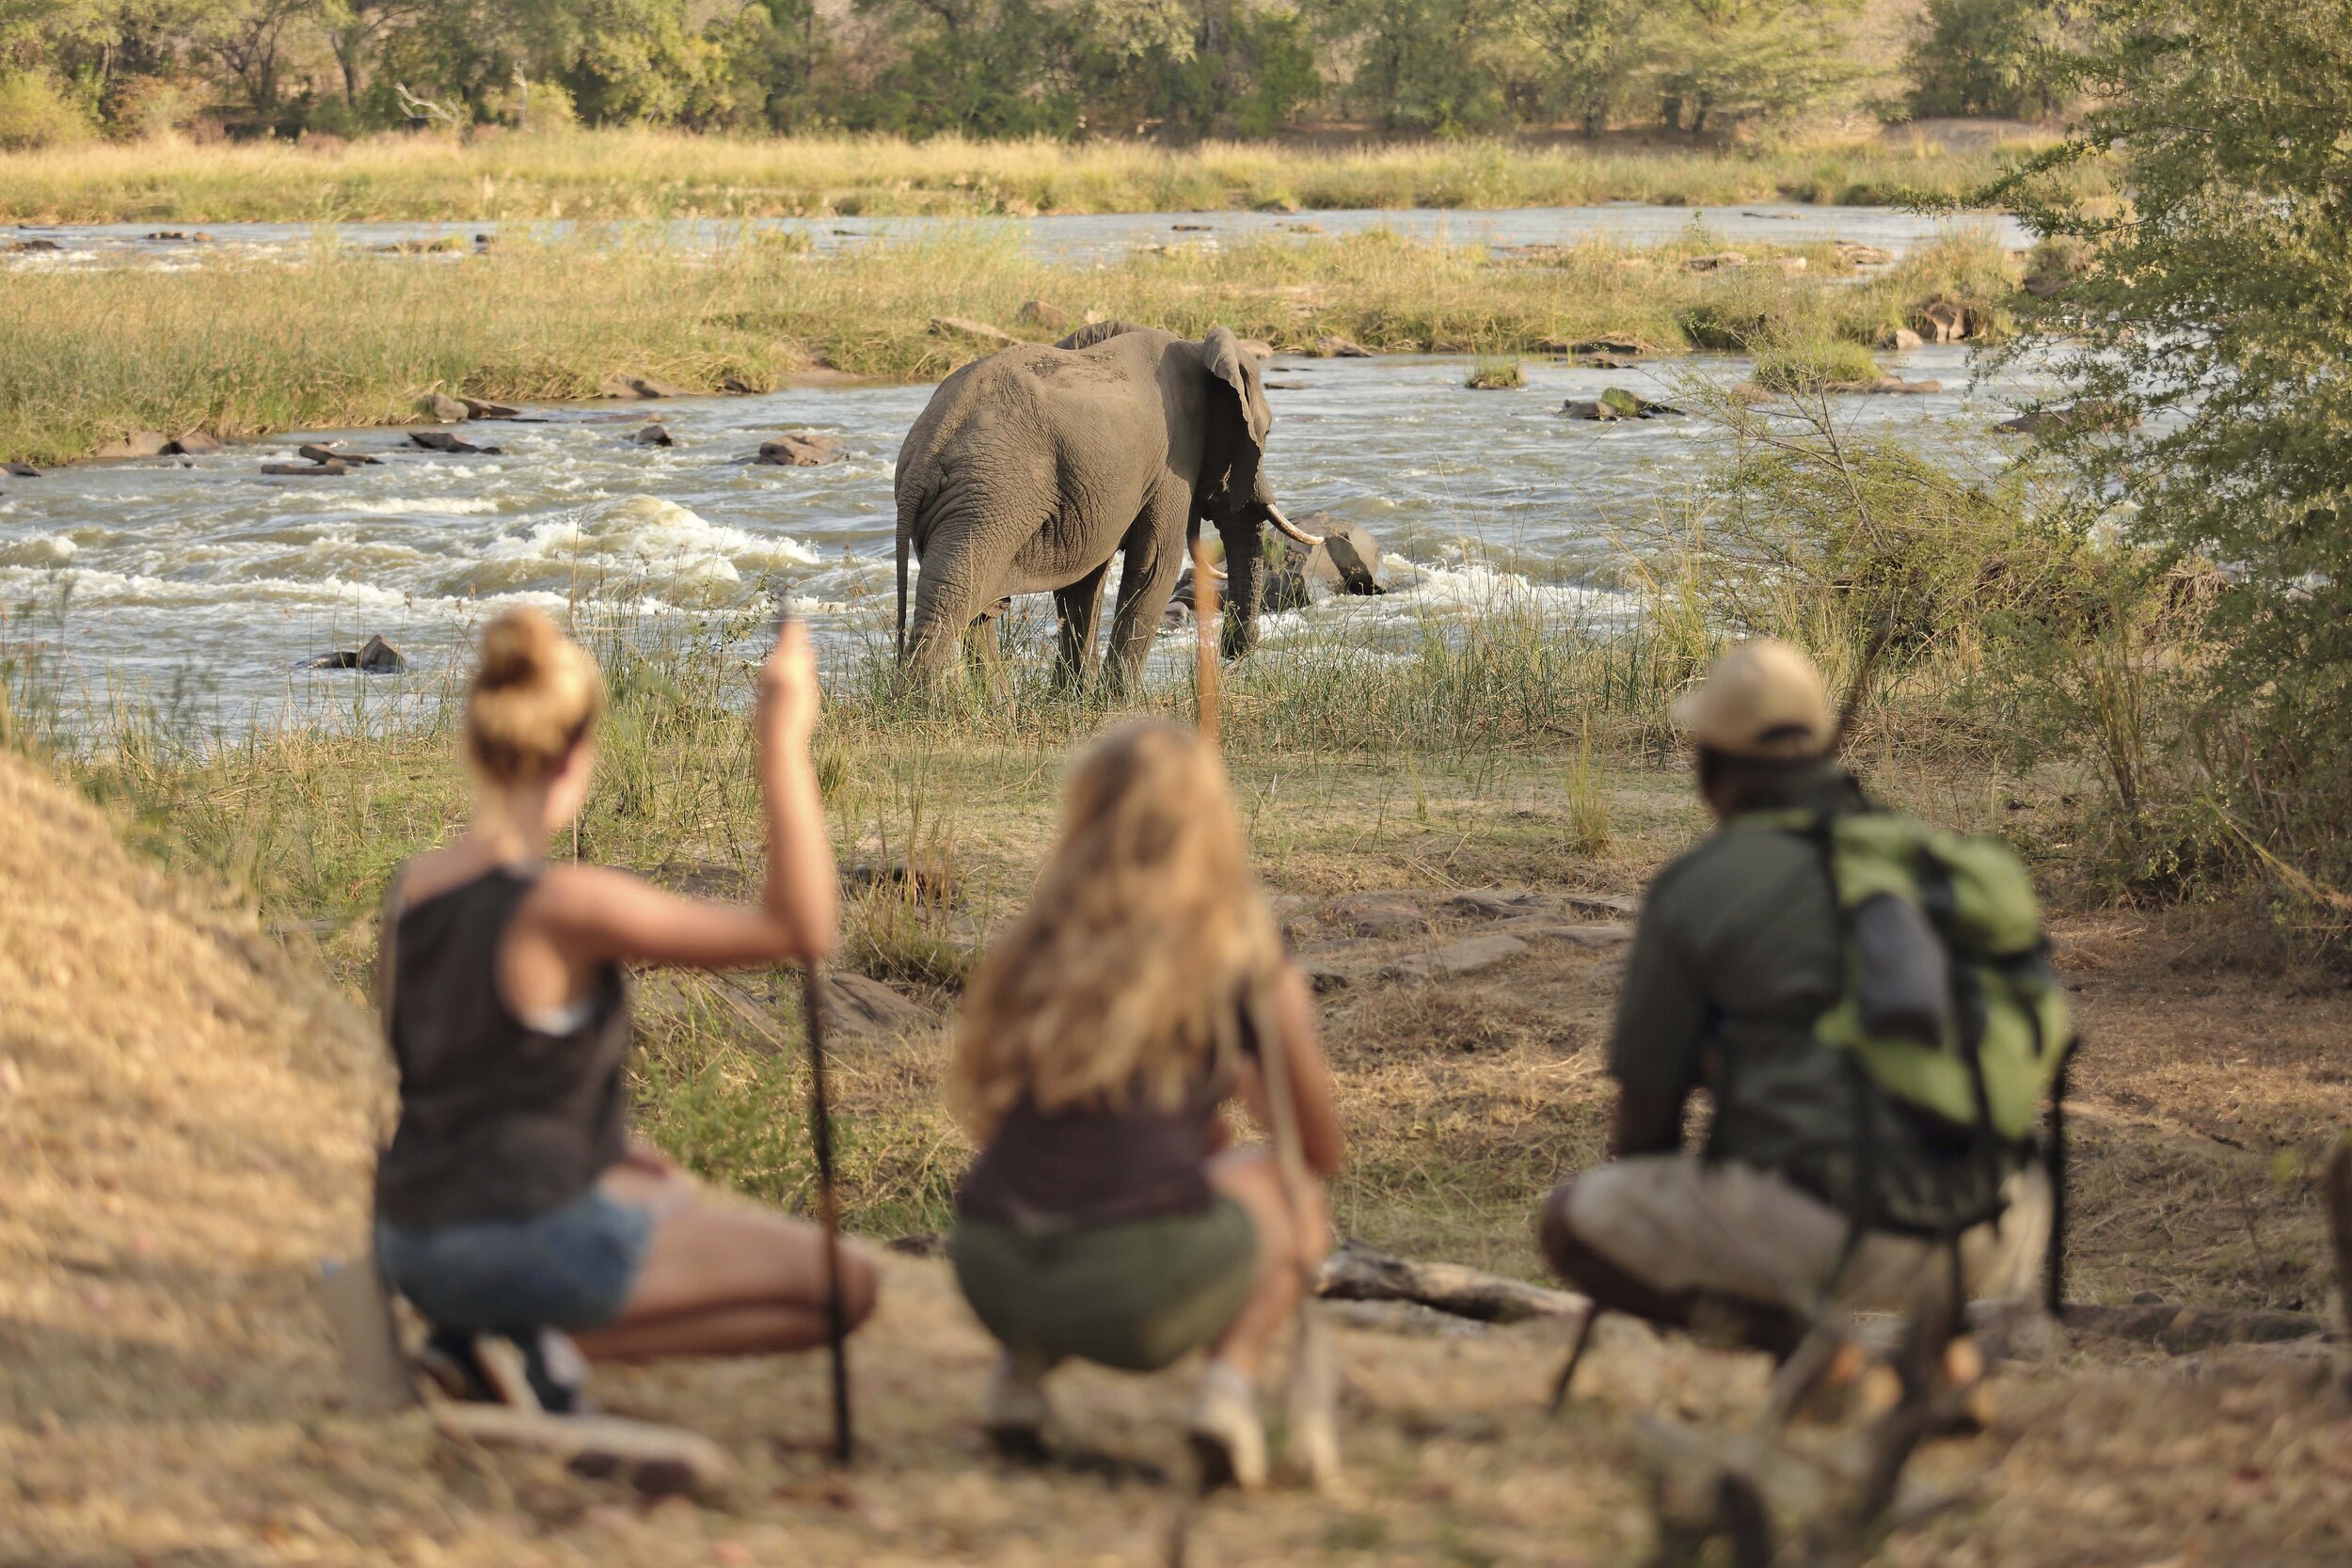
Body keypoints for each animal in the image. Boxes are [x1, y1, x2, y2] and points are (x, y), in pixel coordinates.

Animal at [889, 322, 1327, 690]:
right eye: (1265, 433)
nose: (1232, 652)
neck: (1195, 346)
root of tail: (927, 444)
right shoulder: (1173, 459)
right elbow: (1155, 564)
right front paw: (1120, 704)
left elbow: (1084, 583)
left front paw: (1072, 702)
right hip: (991, 494)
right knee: (955, 594)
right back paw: (925, 708)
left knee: (979, 603)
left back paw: (997, 709)